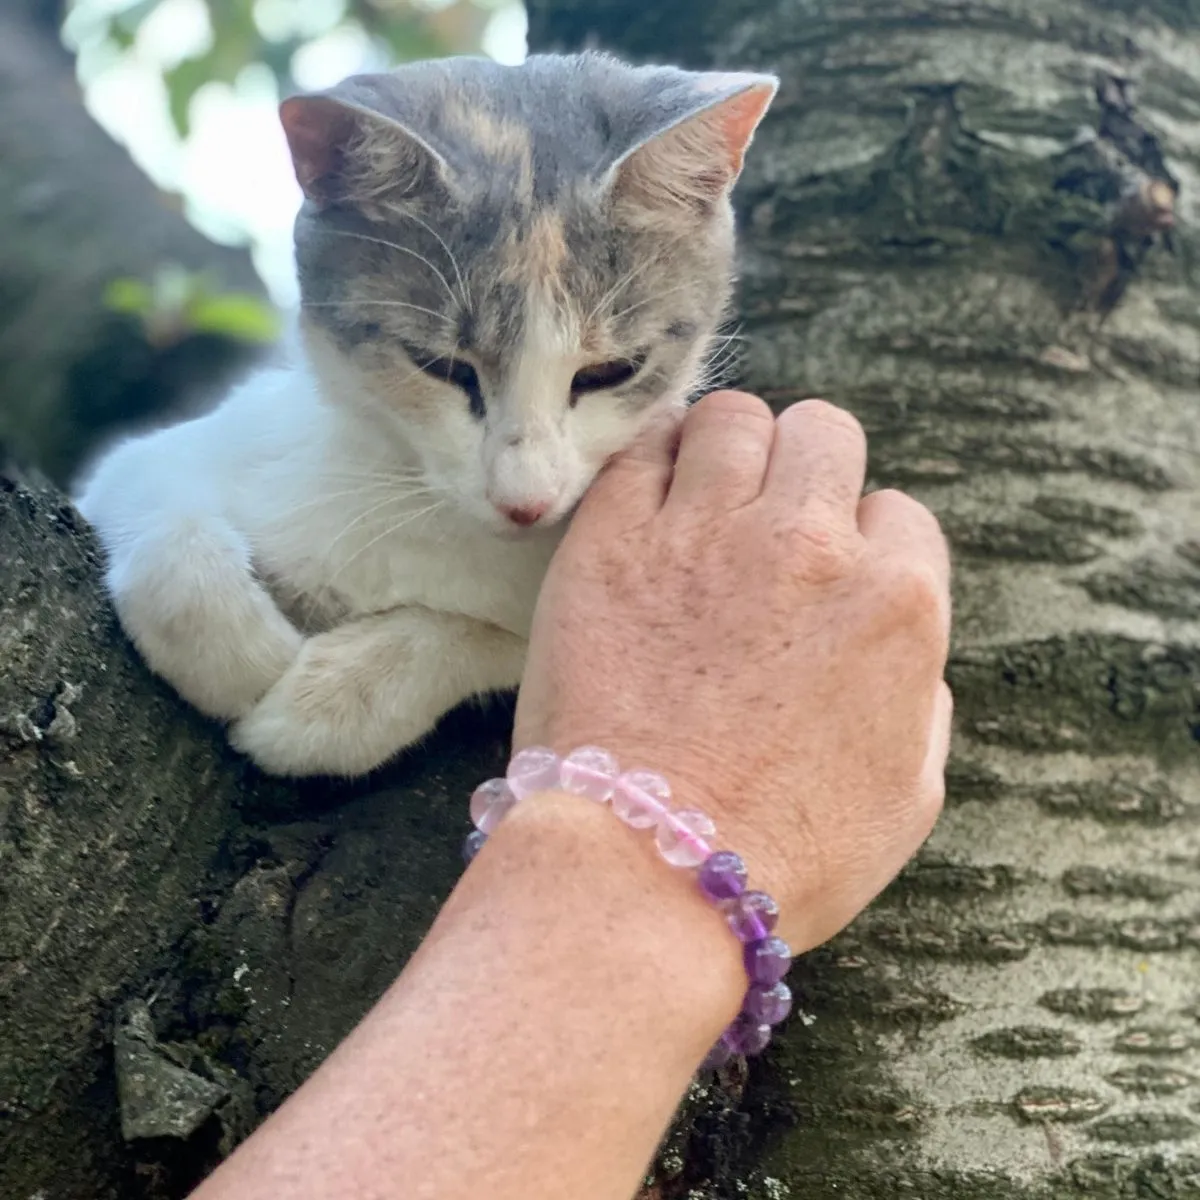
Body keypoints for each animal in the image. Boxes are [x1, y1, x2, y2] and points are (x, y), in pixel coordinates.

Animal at [75, 49, 772, 777]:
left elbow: (493, 636)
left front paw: (336, 700)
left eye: (613, 371)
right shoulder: (201, 451)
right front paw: (233, 653)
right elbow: (152, 495)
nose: (525, 502)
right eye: (440, 366)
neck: (421, 514)